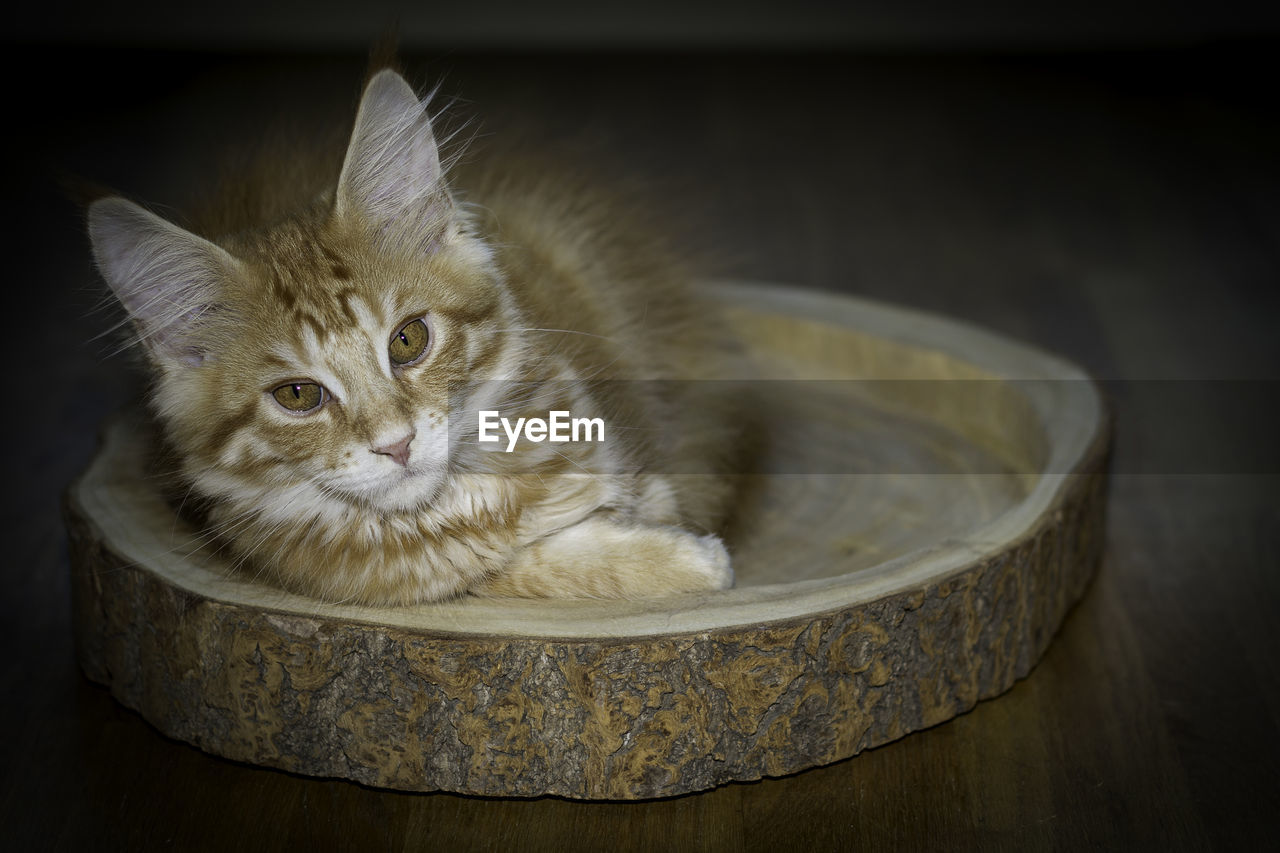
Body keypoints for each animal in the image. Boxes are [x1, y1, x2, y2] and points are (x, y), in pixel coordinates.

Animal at [87, 66, 742, 604]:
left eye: (407, 340)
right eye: (297, 395)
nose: (396, 445)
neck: (469, 500)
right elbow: (525, 570)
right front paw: (688, 559)